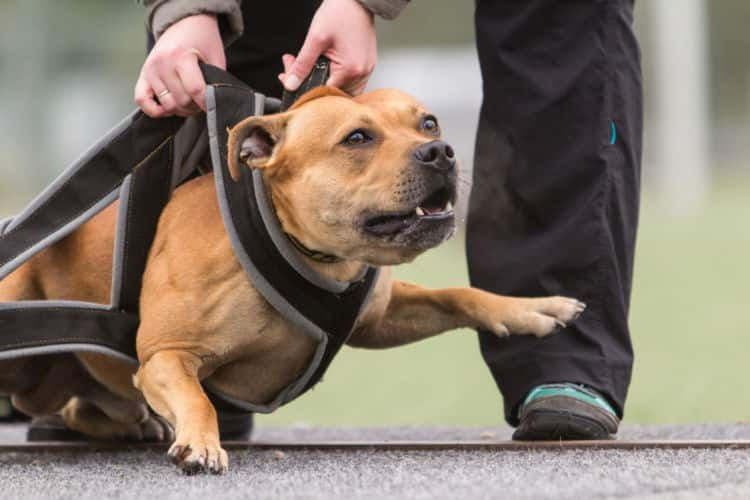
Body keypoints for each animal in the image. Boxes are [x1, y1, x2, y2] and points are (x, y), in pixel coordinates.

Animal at [0, 88, 588, 474]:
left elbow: (457, 295)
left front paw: (531, 309)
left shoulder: (378, 318)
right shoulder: (166, 356)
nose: (440, 151)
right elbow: (198, 398)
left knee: (79, 407)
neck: (311, 253)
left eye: (428, 123)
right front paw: (202, 441)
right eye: (357, 138)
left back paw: (133, 424)